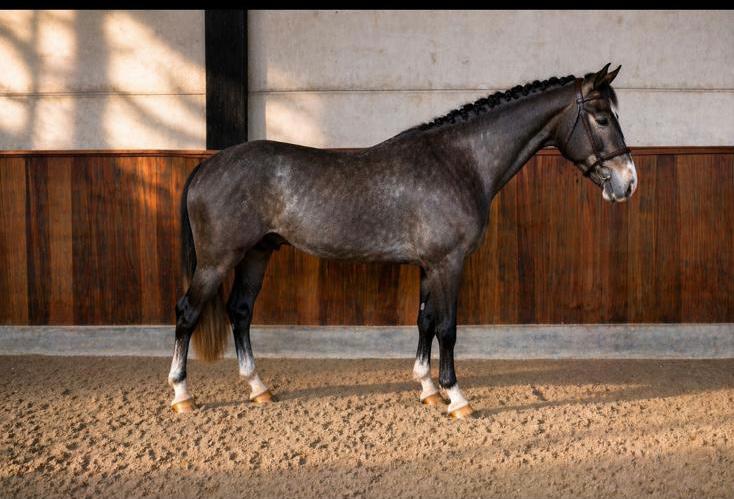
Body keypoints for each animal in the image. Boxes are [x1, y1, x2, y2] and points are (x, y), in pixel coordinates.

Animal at [167, 63, 637, 418]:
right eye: (601, 118)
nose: (627, 182)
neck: (459, 162)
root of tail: (208, 166)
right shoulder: (449, 263)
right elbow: (447, 327)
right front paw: (456, 397)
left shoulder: (430, 265)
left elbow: (424, 320)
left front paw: (427, 388)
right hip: (217, 260)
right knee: (188, 312)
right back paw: (182, 395)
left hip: (256, 254)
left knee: (240, 311)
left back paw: (259, 388)